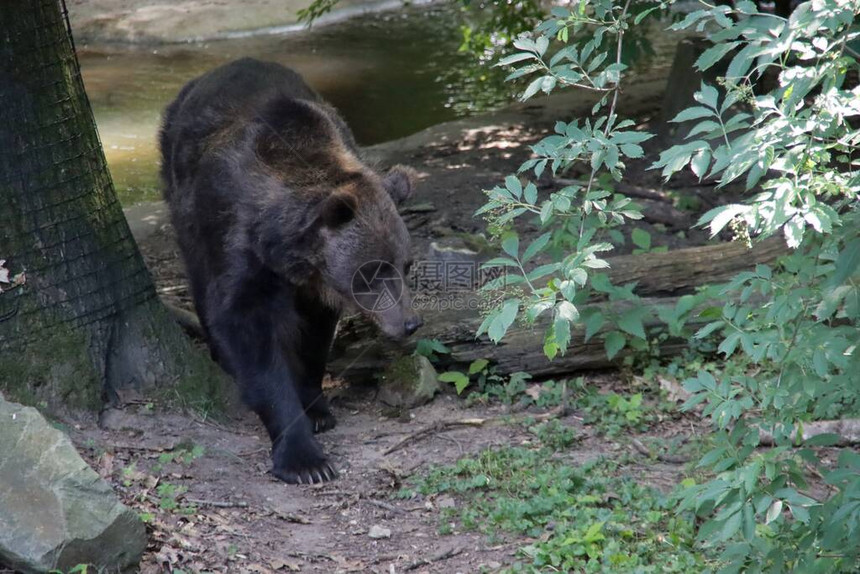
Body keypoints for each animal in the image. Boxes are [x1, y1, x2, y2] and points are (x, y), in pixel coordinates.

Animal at [159, 58, 424, 484]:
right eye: (371, 272)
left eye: (405, 264)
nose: (410, 322)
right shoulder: (239, 246)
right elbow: (249, 336)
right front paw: (305, 459)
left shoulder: (317, 285)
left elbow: (314, 336)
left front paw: (316, 409)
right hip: (182, 199)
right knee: (198, 280)